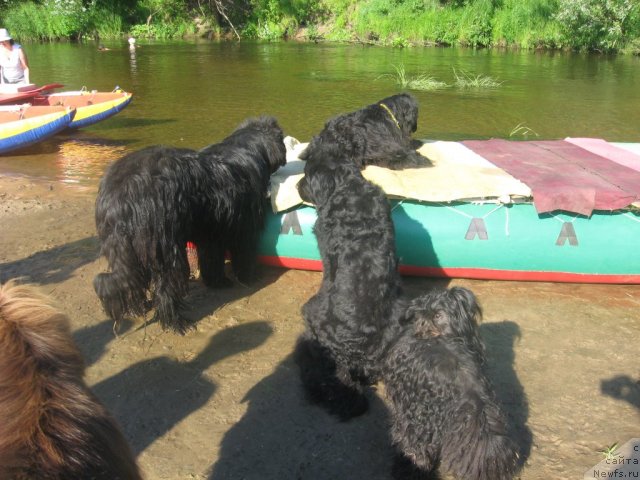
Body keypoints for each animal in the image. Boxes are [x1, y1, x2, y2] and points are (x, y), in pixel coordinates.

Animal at [94, 116, 286, 334]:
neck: (246, 146)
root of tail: (120, 195)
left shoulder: (212, 234)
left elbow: (212, 260)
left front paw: (218, 282)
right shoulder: (244, 228)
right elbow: (244, 254)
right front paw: (249, 277)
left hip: (126, 248)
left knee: (133, 279)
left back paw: (141, 306)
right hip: (166, 250)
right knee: (166, 288)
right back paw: (176, 322)